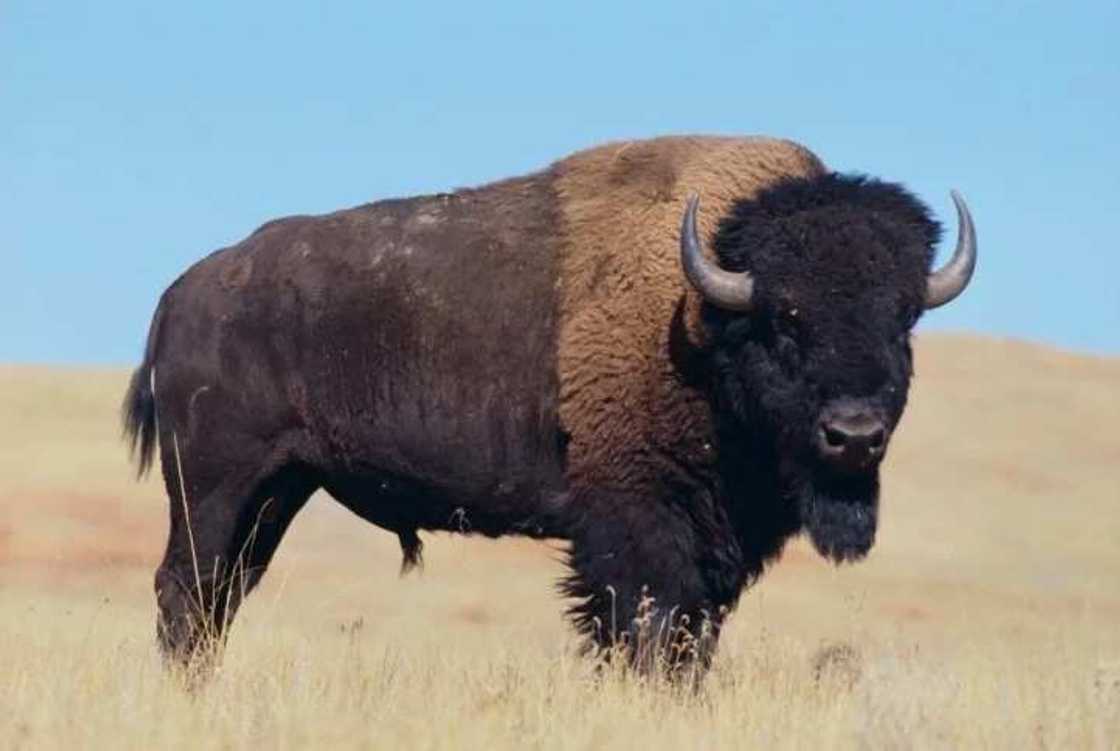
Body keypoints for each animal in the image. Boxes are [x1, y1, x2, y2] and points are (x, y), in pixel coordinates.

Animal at [123, 135, 976, 672]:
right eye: (785, 319)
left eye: (902, 317)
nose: (854, 434)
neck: (705, 316)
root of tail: (184, 291)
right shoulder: (637, 524)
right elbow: (646, 627)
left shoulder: (721, 542)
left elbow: (691, 635)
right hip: (214, 487)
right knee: (186, 592)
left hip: (279, 491)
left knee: (222, 596)